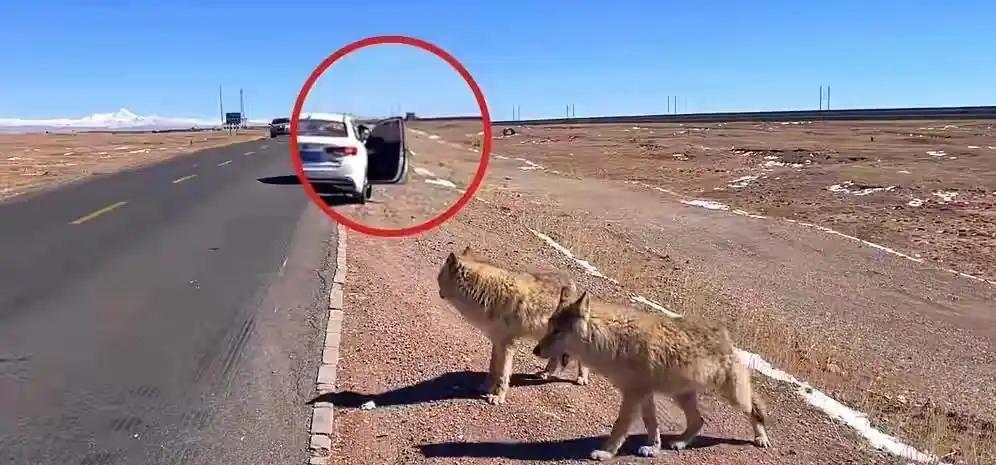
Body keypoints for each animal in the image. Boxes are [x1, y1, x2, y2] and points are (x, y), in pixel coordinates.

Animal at [438, 246, 592, 402]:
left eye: (439, 277)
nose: (439, 292)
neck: (486, 292)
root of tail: (572, 282)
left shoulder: (507, 345)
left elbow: (503, 373)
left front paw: (498, 396)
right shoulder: (497, 342)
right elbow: (493, 368)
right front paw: (486, 387)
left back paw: (581, 378)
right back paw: (545, 373)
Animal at [532, 288, 776, 458]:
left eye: (557, 331)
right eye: (549, 327)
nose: (535, 350)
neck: (612, 341)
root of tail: (726, 335)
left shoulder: (633, 395)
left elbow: (620, 426)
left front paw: (606, 453)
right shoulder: (644, 394)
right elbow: (652, 424)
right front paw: (653, 448)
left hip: (734, 397)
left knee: (755, 408)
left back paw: (761, 438)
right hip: (682, 396)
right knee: (699, 421)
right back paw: (680, 443)